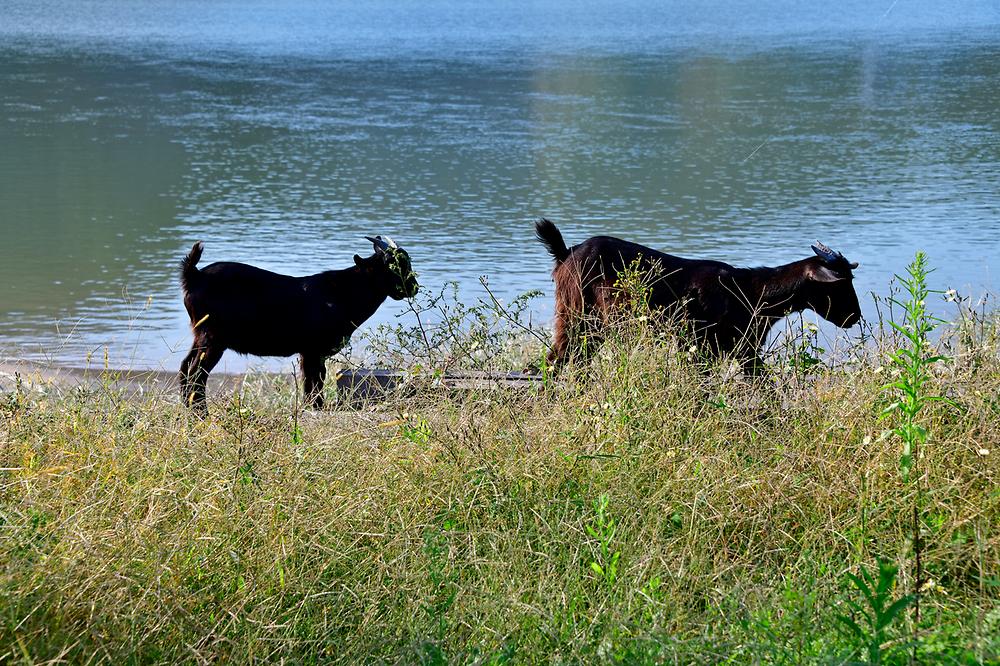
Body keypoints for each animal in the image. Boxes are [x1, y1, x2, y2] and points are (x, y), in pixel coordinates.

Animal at [178, 236, 416, 412]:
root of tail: (194, 275)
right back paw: (201, 414)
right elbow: (315, 383)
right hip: (212, 338)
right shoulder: (313, 351)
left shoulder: (308, 353)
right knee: (196, 374)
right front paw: (316, 408)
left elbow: (311, 383)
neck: (341, 294)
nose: (414, 286)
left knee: (185, 368)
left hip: (202, 336)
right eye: (392, 266)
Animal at [536, 219, 864, 370]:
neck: (751, 291)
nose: (855, 317)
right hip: (578, 317)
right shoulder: (702, 347)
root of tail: (565, 253)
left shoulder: (744, 351)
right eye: (840, 283)